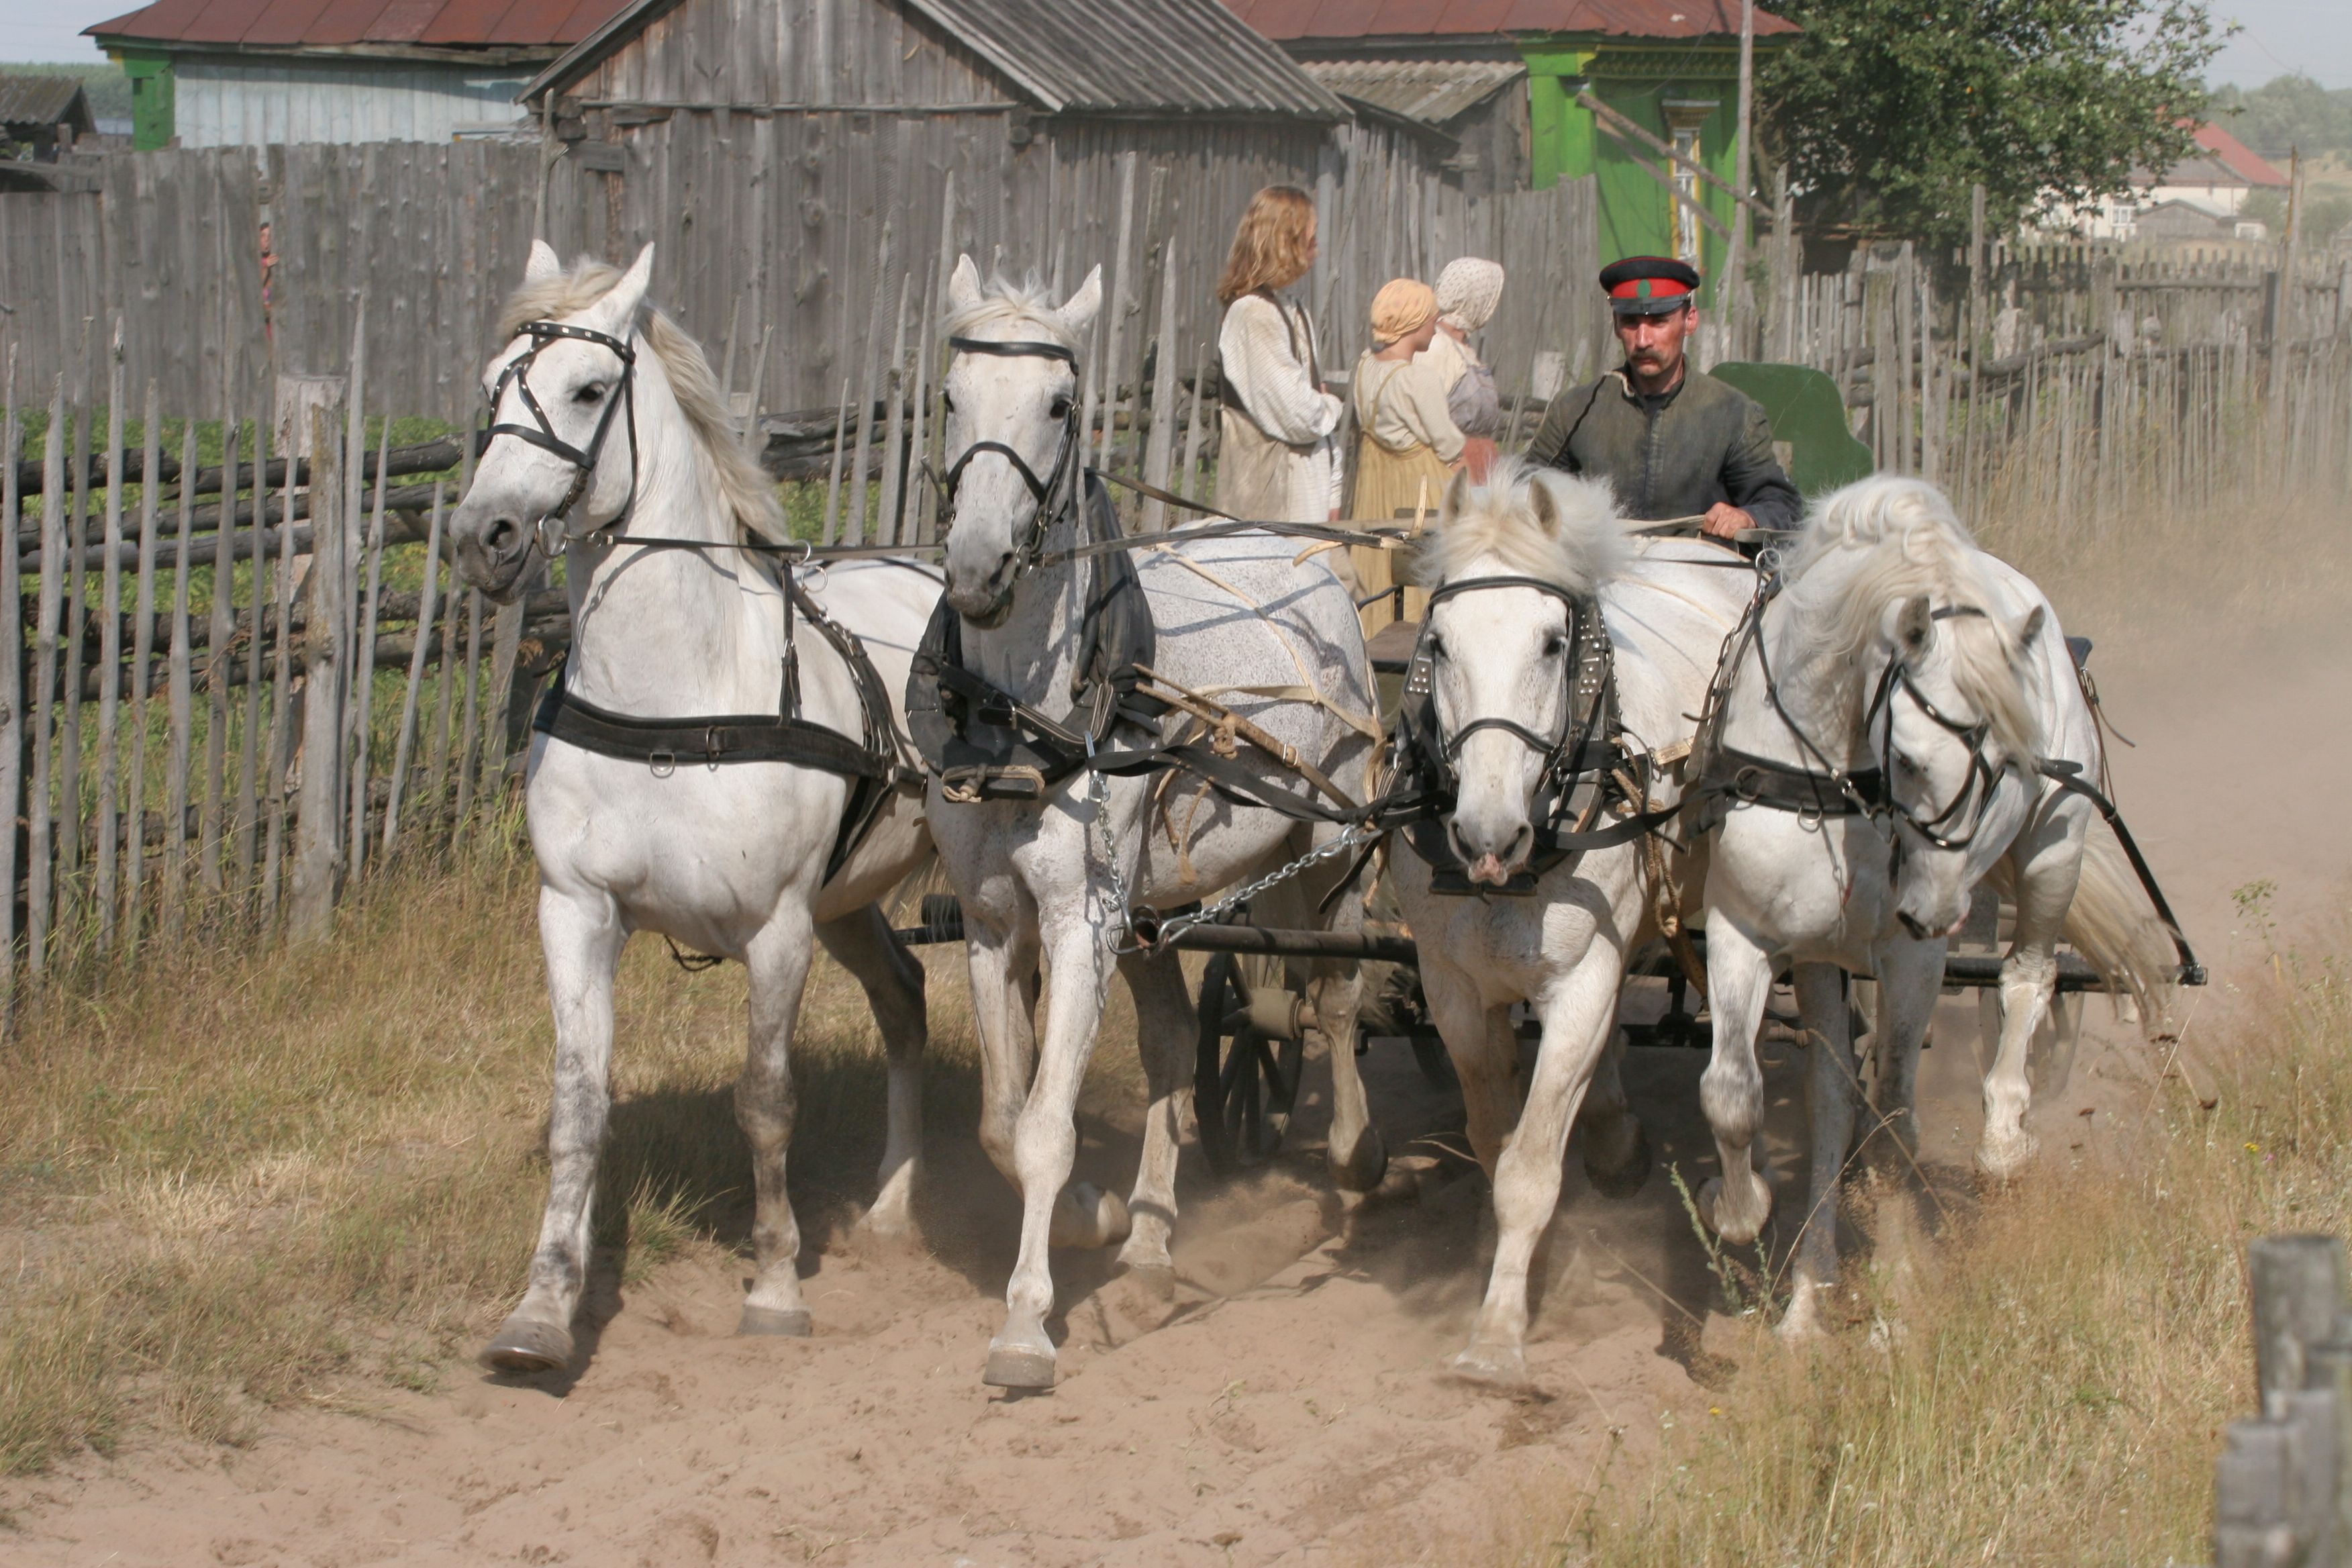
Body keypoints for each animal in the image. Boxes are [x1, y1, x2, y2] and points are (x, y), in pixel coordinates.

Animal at [454, 245, 940, 1373]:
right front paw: (542, 1308)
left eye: (590, 390)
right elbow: (578, 1104)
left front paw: (774, 1285)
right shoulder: (574, 911)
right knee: (906, 1001)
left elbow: (765, 1103)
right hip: (850, 904)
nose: (483, 536)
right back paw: (895, 1208)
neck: (678, 701)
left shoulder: (777, 929)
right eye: (495, 385)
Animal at [926, 263, 1383, 1391]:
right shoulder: (996, 924)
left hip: (1330, 850)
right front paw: (1095, 1218)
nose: (978, 569)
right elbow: (1002, 1121)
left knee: (1338, 997)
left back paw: (1356, 1157)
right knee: (1178, 1043)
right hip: (1152, 912)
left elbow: (1045, 1128)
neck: (1029, 719)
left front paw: (1025, 1326)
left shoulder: (1079, 920)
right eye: (951, 394)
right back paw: (1148, 1238)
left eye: (1060, 404)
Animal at [1383, 462, 1759, 1382]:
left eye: (1553, 641)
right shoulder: (1454, 990)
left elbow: (1528, 1165)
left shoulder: (1583, 978)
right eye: (1438, 643)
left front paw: (1495, 1339)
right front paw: (1528, 1269)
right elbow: (1496, 1140)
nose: (1486, 836)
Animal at [1693, 475, 2163, 1335]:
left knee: (2028, 978)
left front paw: (1898, 1295)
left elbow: (1894, 1120)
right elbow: (1748, 1095)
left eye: (2009, 760)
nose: (1935, 909)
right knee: (1837, 1094)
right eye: (1909, 759)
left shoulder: (1909, 957)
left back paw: (2006, 1133)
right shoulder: (1755, 931)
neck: (1839, 777)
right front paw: (1756, 1232)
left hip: (2053, 851)